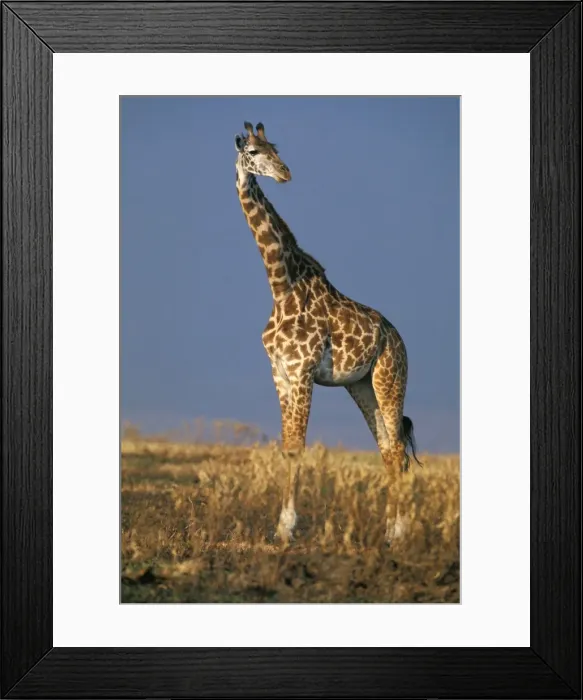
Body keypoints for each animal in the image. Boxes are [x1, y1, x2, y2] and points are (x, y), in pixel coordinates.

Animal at [235, 122, 420, 544]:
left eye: (275, 148)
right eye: (252, 151)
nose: (284, 173)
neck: (281, 287)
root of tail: (399, 339)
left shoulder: (303, 372)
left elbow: (297, 448)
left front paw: (286, 528)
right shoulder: (280, 373)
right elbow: (287, 446)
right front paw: (280, 528)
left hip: (389, 379)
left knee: (398, 449)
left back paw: (399, 533)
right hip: (361, 385)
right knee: (389, 451)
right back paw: (389, 532)